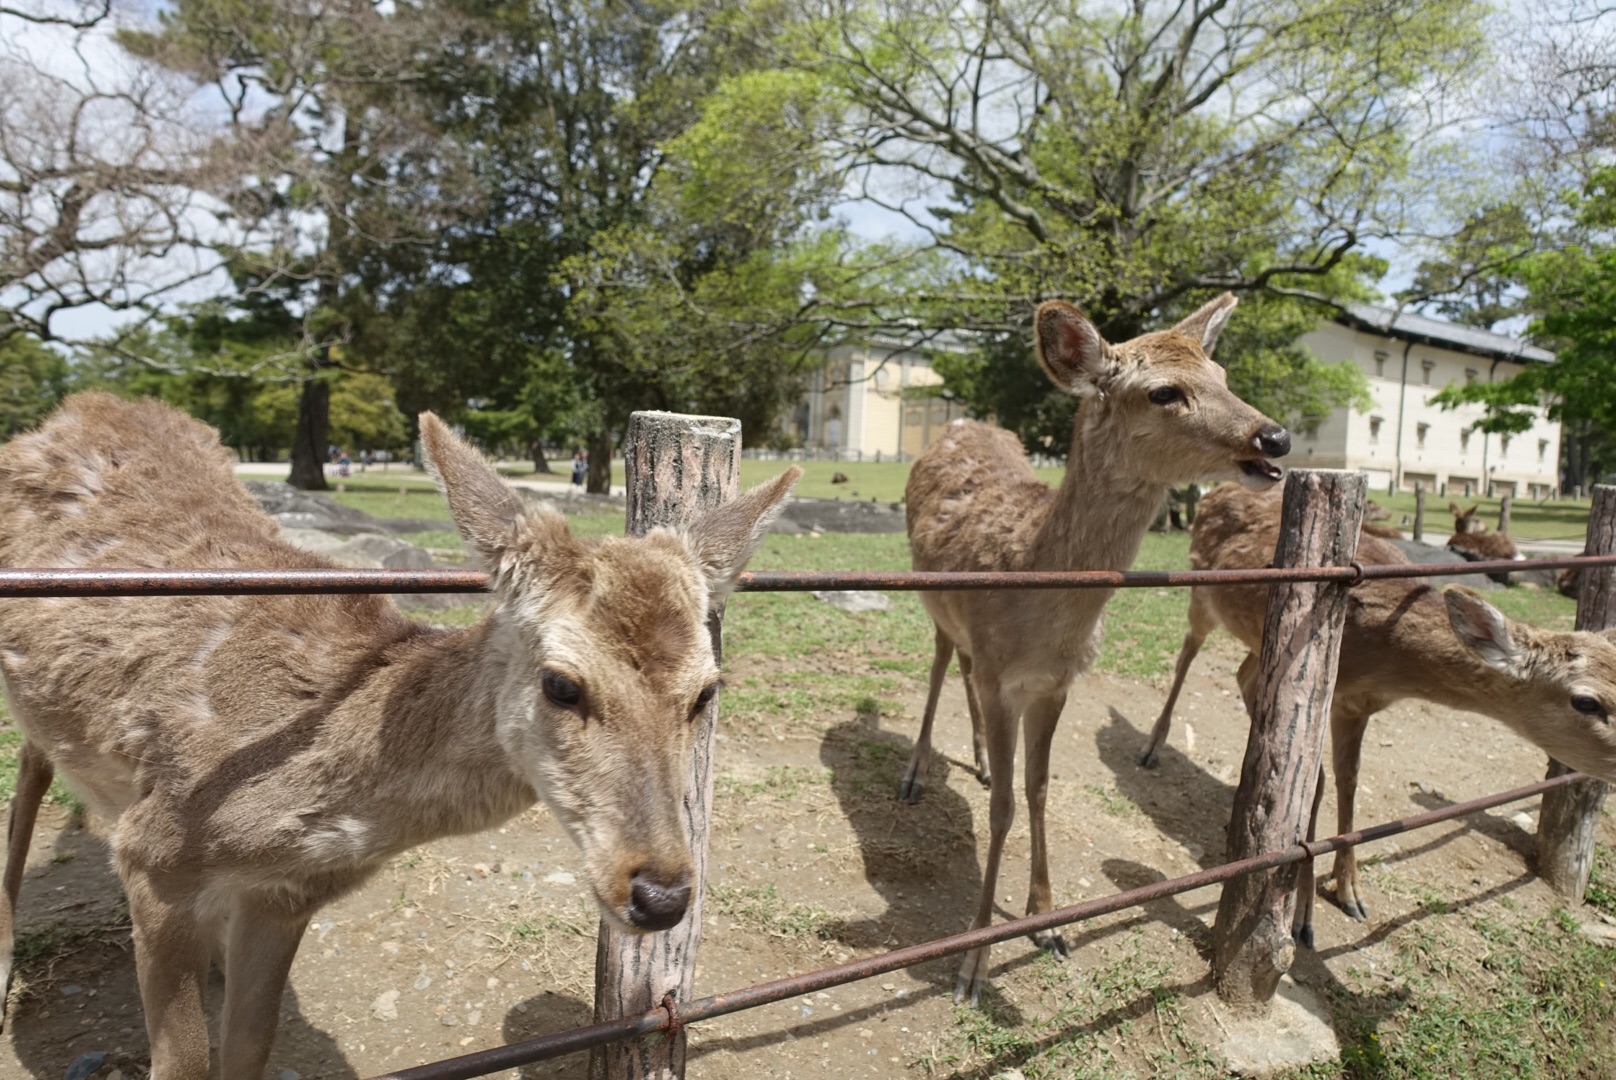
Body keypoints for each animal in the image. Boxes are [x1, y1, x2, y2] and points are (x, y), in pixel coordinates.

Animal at [0, 394, 801, 1080]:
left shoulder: (284, 898)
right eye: (561, 684)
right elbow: (183, 1064)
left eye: (707, 690)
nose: (662, 896)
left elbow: (250, 1051)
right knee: (31, 765)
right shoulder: (153, 851)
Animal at [898, 295, 1286, 1002]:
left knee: (960, 663)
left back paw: (978, 759)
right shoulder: (1003, 679)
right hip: (929, 595)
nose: (1273, 438)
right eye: (1164, 391)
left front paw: (1048, 923)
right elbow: (1000, 810)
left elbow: (1039, 788)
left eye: (1221, 374)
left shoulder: (1056, 683)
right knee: (941, 660)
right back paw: (915, 774)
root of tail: (961, 423)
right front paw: (972, 965)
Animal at [1137, 481, 1616, 944]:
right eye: (1586, 701)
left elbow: (1348, 780)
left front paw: (1350, 890)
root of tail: (1214, 490)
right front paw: (1303, 918)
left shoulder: (1360, 704)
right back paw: (1151, 748)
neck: (1386, 657)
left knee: (1242, 675)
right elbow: (1317, 783)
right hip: (1201, 591)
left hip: (1259, 641)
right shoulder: (1325, 692)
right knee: (1188, 652)